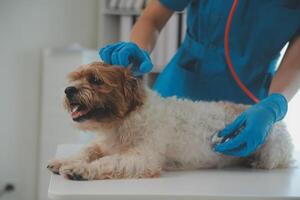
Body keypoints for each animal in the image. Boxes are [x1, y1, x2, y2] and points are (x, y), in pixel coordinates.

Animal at [47, 61, 292, 180]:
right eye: (75, 78)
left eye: (96, 80)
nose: (69, 90)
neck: (124, 121)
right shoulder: (102, 145)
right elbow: (86, 150)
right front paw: (65, 161)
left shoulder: (143, 158)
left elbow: (107, 162)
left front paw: (80, 169)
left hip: (271, 152)